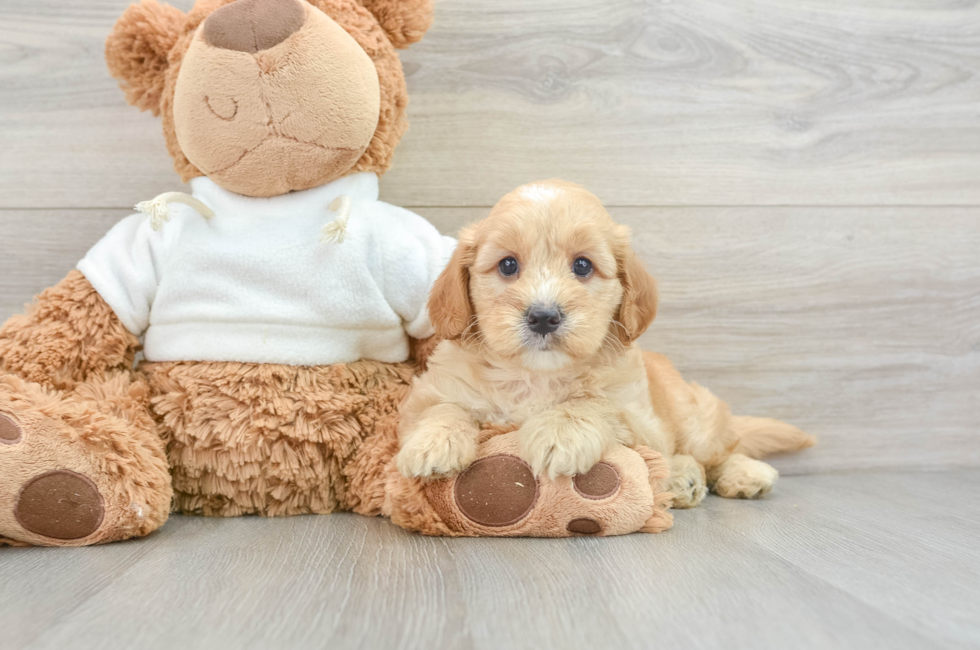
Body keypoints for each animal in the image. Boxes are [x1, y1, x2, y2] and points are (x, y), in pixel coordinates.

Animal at [394, 180, 816, 504]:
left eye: (582, 265)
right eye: (508, 265)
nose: (543, 316)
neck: (536, 376)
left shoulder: (640, 418)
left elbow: (594, 403)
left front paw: (559, 433)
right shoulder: (429, 394)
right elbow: (445, 407)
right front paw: (433, 442)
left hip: (695, 419)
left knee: (720, 449)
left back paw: (741, 474)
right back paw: (684, 479)